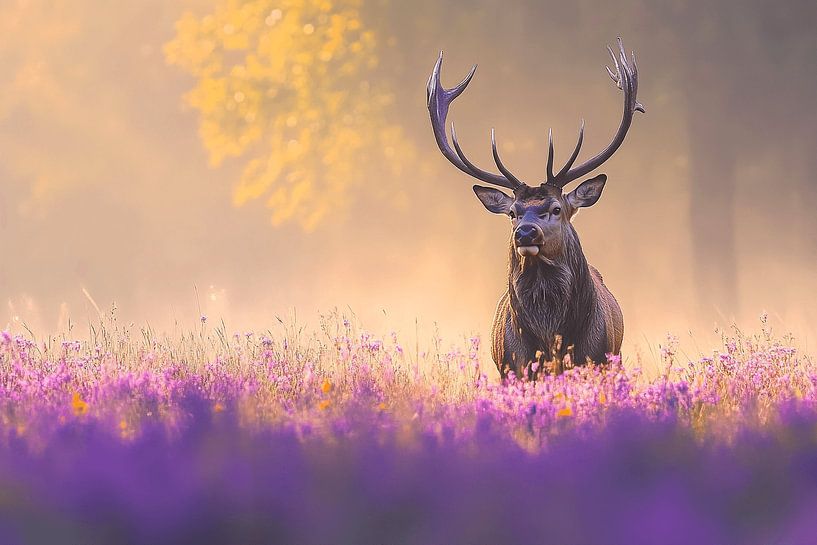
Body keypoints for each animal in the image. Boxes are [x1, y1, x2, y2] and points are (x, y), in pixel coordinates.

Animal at [427, 38, 644, 378]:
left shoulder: (595, 359)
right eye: (513, 212)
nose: (526, 233)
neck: (551, 339)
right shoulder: (511, 367)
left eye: (556, 208)